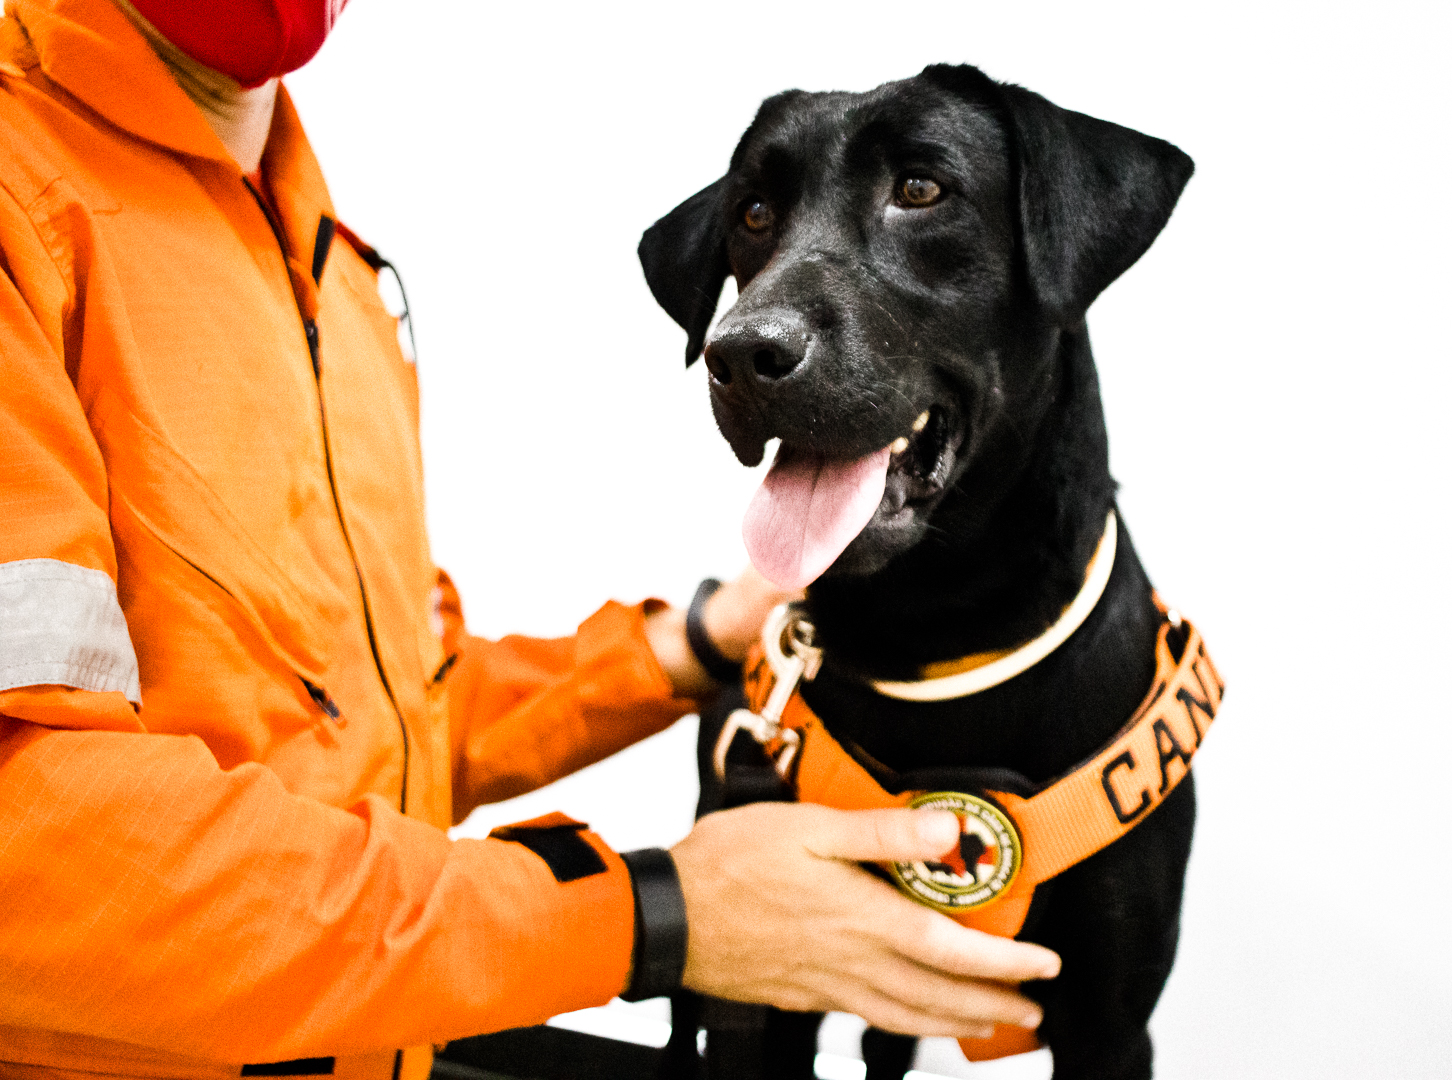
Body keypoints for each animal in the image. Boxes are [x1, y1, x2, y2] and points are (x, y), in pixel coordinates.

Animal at [641, 67, 1196, 1080]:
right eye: (752, 212)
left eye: (923, 189)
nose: (742, 350)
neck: (940, 631)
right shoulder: (779, 973)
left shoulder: (1109, 1023)